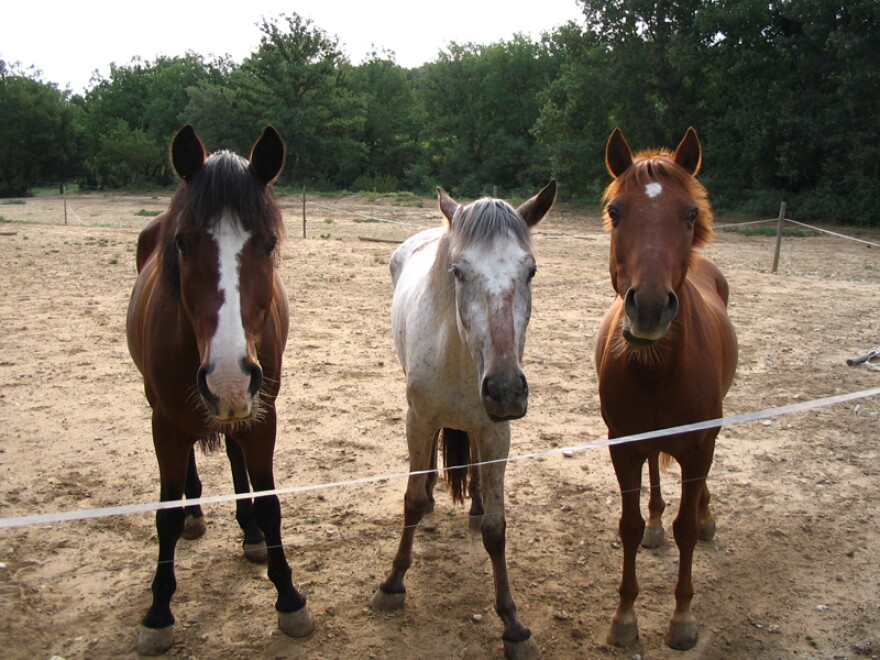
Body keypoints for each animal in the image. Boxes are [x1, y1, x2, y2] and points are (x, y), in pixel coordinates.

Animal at [126, 125, 314, 655]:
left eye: (268, 244)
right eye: (182, 243)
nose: (227, 376)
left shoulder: (262, 415)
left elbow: (270, 504)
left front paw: (289, 597)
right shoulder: (165, 422)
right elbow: (164, 516)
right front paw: (158, 612)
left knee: (233, 457)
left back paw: (247, 533)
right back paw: (195, 512)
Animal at [371, 181, 556, 660]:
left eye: (531, 271)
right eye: (457, 271)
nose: (506, 389)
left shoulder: (496, 432)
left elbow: (496, 526)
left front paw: (512, 624)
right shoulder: (417, 421)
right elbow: (410, 501)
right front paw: (393, 583)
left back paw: (472, 502)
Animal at [594, 128, 738, 650]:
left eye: (690, 213)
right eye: (616, 211)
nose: (651, 308)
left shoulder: (699, 446)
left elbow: (687, 529)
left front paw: (681, 618)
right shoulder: (622, 445)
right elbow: (630, 526)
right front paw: (624, 617)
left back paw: (708, 515)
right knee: (656, 473)